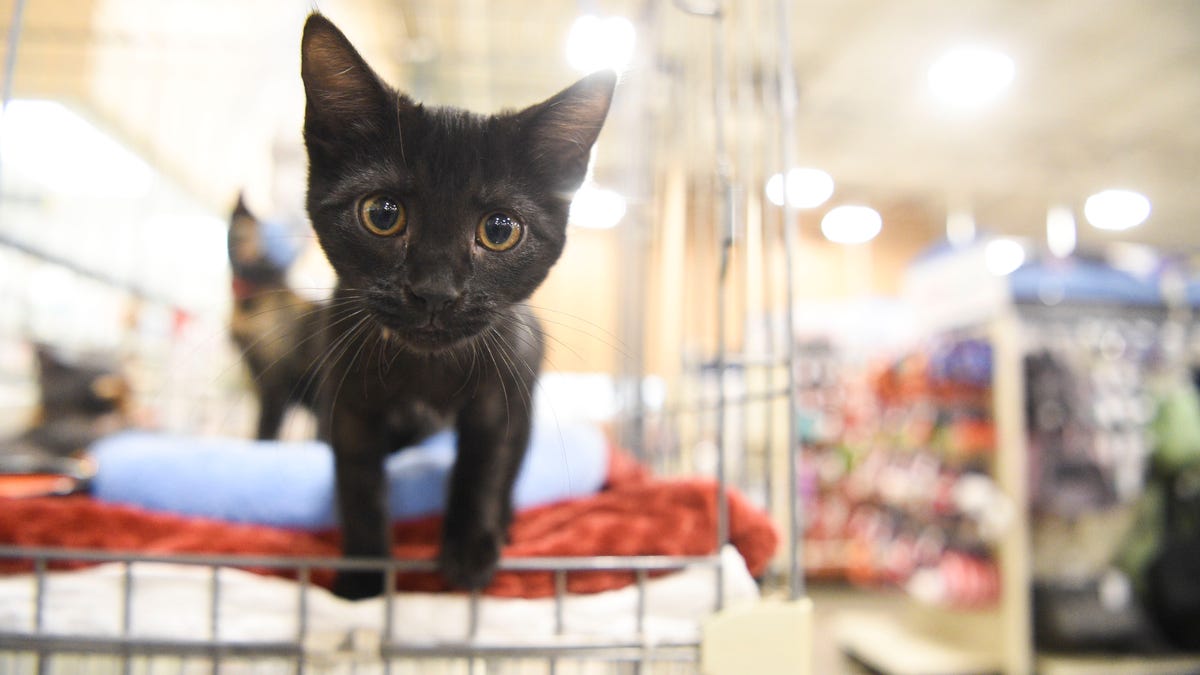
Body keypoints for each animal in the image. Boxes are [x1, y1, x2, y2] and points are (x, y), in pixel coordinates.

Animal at [226, 193, 321, 437]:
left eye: (277, 245)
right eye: (239, 230)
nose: (245, 242)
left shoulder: (274, 384)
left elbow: (265, 429)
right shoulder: (257, 378)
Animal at [300, 13, 619, 595]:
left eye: (499, 230)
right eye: (382, 214)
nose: (435, 290)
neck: (426, 368)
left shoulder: (505, 393)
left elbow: (485, 468)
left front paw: (470, 551)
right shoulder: (348, 401)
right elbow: (358, 482)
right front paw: (364, 576)